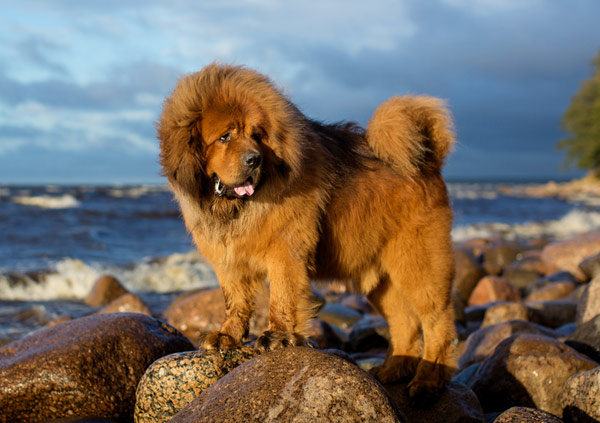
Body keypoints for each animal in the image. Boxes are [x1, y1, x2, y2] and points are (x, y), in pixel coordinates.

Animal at [157, 64, 458, 402]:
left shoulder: (285, 251)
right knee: (404, 323)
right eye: (225, 137)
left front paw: (278, 337)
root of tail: (427, 160)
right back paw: (393, 370)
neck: (237, 209)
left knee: (437, 322)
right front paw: (227, 335)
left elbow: (283, 297)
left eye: (256, 135)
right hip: (382, 280)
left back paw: (428, 380)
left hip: (417, 265)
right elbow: (235, 300)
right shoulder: (229, 259)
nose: (254, 159)